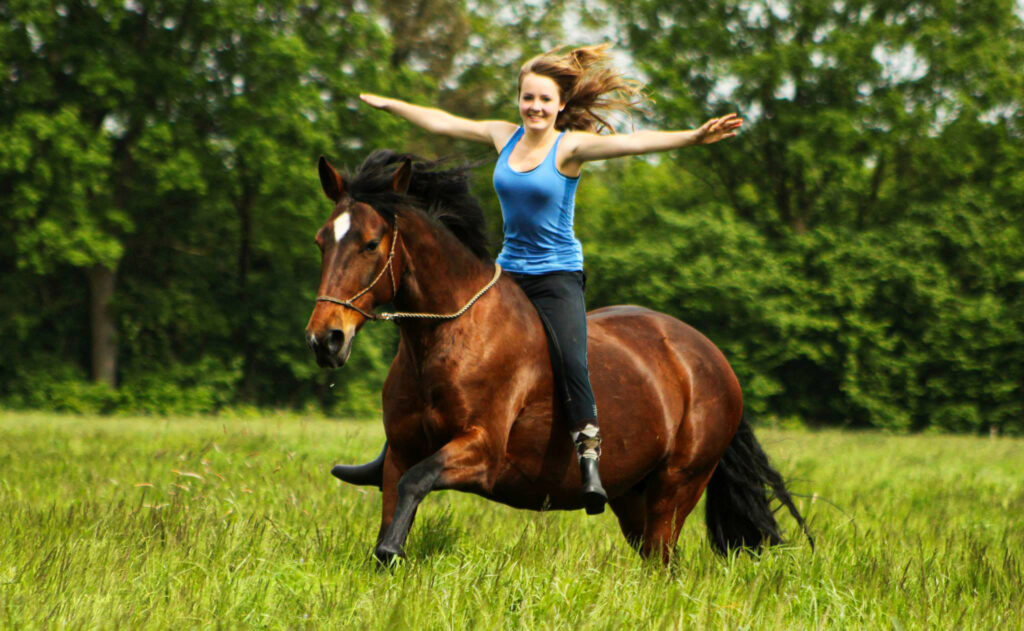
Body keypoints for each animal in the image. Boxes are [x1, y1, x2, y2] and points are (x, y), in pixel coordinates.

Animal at [303, 150, 806, 565]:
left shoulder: (481, 451)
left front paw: (393, 550)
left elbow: (416, 483)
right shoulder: (401, 452)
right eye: (321, 241)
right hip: (631, 495)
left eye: (371, 243)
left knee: (665, 557)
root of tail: (715, 360)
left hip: (678, 484)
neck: (446, 333)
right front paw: (387, 556)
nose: (325, 340)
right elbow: (397, 498)